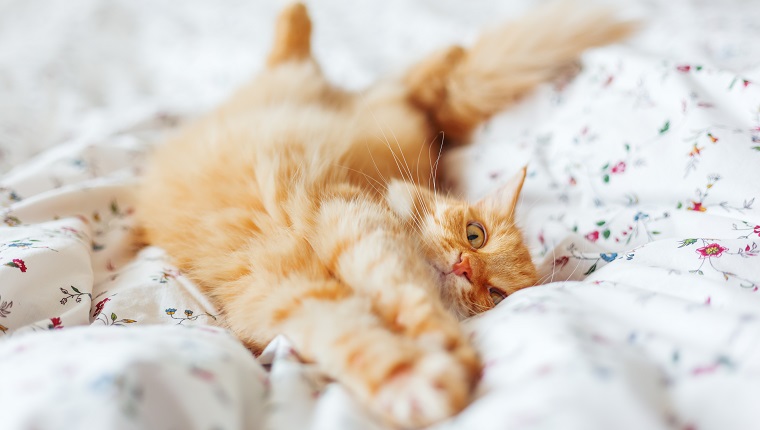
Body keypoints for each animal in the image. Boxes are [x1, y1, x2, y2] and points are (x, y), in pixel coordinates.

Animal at [138, 2, 636, 426]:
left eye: (495, 294)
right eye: (475, 235)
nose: (464, 266)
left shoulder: (293, 296)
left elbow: (361, 342)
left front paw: (417, 381)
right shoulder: (352, 226)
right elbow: (408, 296)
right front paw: (443, 350)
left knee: (412, 87)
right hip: (349, 99)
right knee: (387, 78)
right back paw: (313, 18)